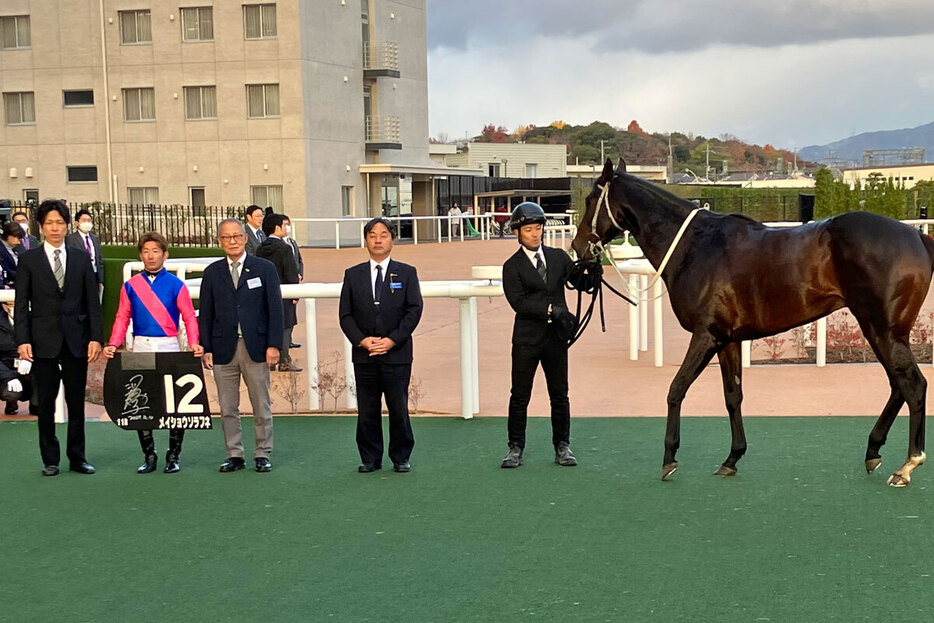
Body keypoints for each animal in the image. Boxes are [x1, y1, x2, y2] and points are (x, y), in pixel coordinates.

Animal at [572, 160, 934, 488]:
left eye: (590, 198)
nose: (577, 247)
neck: (694, 245)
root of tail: (917, 238)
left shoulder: (705, 336)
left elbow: (676, 389)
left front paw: (669, 458)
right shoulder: (728, 340)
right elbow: (733, 395)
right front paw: (732, 458)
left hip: (883, 330)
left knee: (913, 385)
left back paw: (907, 465)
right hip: (881, 330)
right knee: (897, 385)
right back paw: (873, 450)